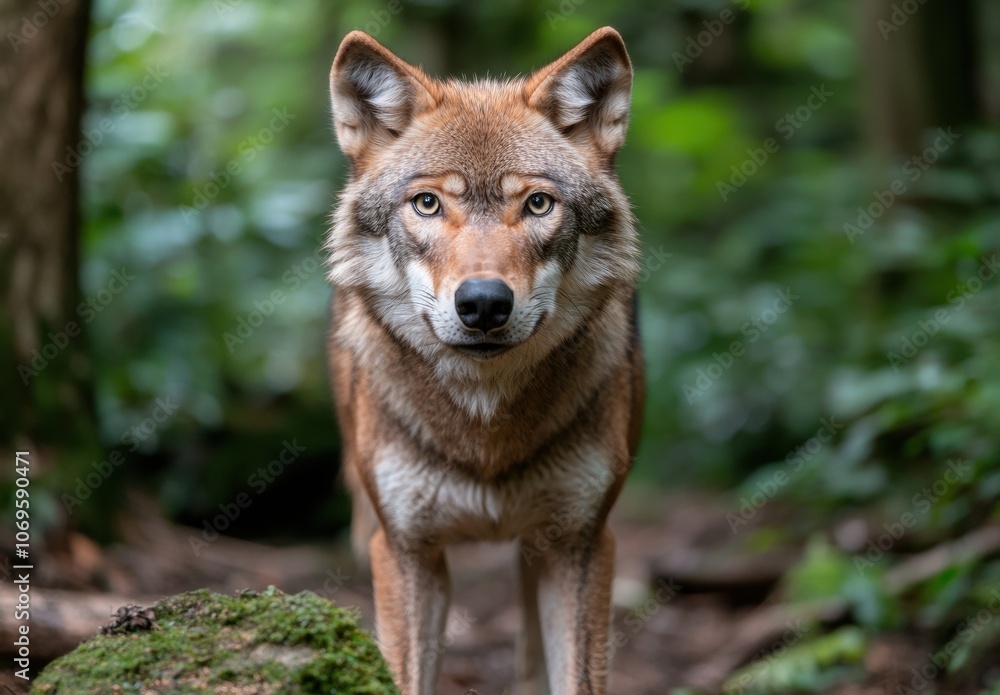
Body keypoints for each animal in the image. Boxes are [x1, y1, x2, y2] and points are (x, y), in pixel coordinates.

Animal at [325, 26, 643, 695]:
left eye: (539, 205)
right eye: (426, 204)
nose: (484, 304)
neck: (484, 428)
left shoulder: (581, 544)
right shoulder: (406, 552)